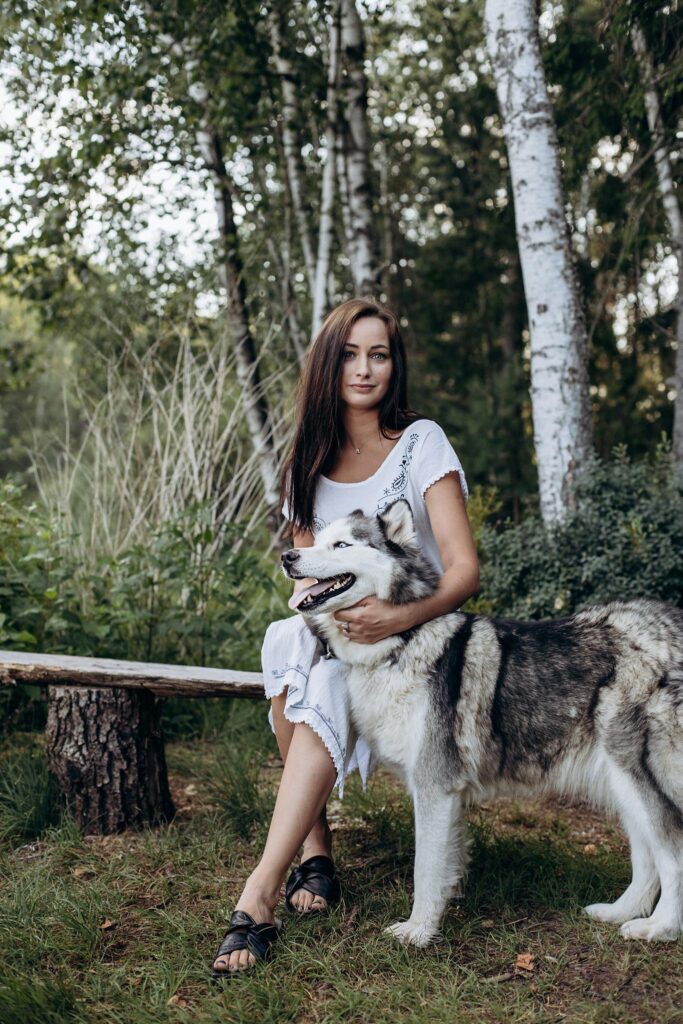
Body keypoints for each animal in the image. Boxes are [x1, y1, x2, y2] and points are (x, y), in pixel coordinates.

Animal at [282, 499, 683, 947]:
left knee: (672, 855)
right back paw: (620, 913)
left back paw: (660, 928)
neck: (403, 638)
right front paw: (438, 913)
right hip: (620, 780)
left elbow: (425, 868)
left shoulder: (434, 786)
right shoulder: (446, 795)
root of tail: (668, 624)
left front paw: (418, 931)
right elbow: (444, 865)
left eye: (342, 544)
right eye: (316, 540)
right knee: (647, 856)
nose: (288, 556)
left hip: (634, 774)